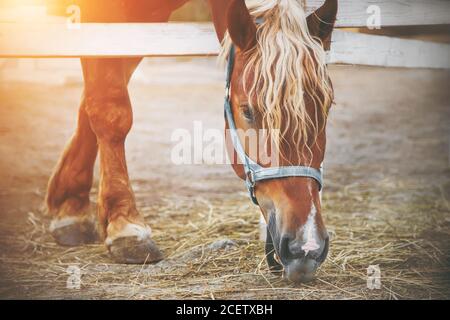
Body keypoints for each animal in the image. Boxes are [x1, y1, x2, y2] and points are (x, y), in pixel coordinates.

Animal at [44, 0, 338, 284]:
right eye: (248, 111)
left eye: (327, 108)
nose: (306, 247)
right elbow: (109, 107)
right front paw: (124, 225)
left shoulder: (146, 18)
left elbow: (93, 98)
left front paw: (70, 205)